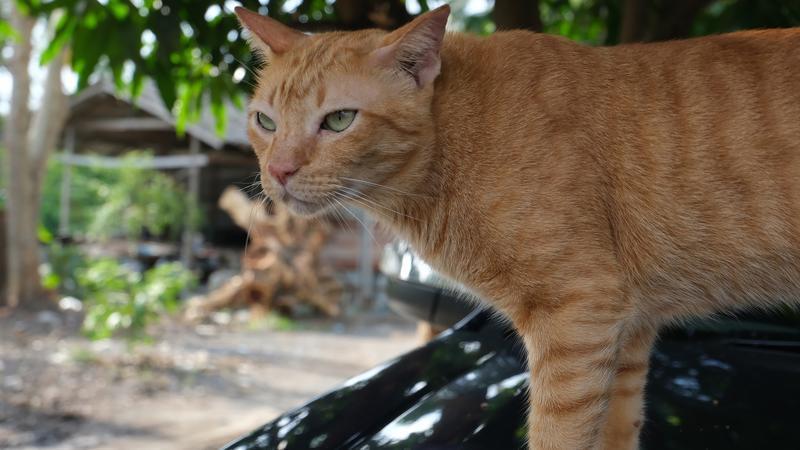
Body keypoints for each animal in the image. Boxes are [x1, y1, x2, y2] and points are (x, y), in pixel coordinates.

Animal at [234, 4, 800, 450]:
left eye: (338, 120)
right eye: (265, 122)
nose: (279, 171)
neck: (454, 140)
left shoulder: (578, 314)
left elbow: (555, 436)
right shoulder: (629, 334)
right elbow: (617, 433)